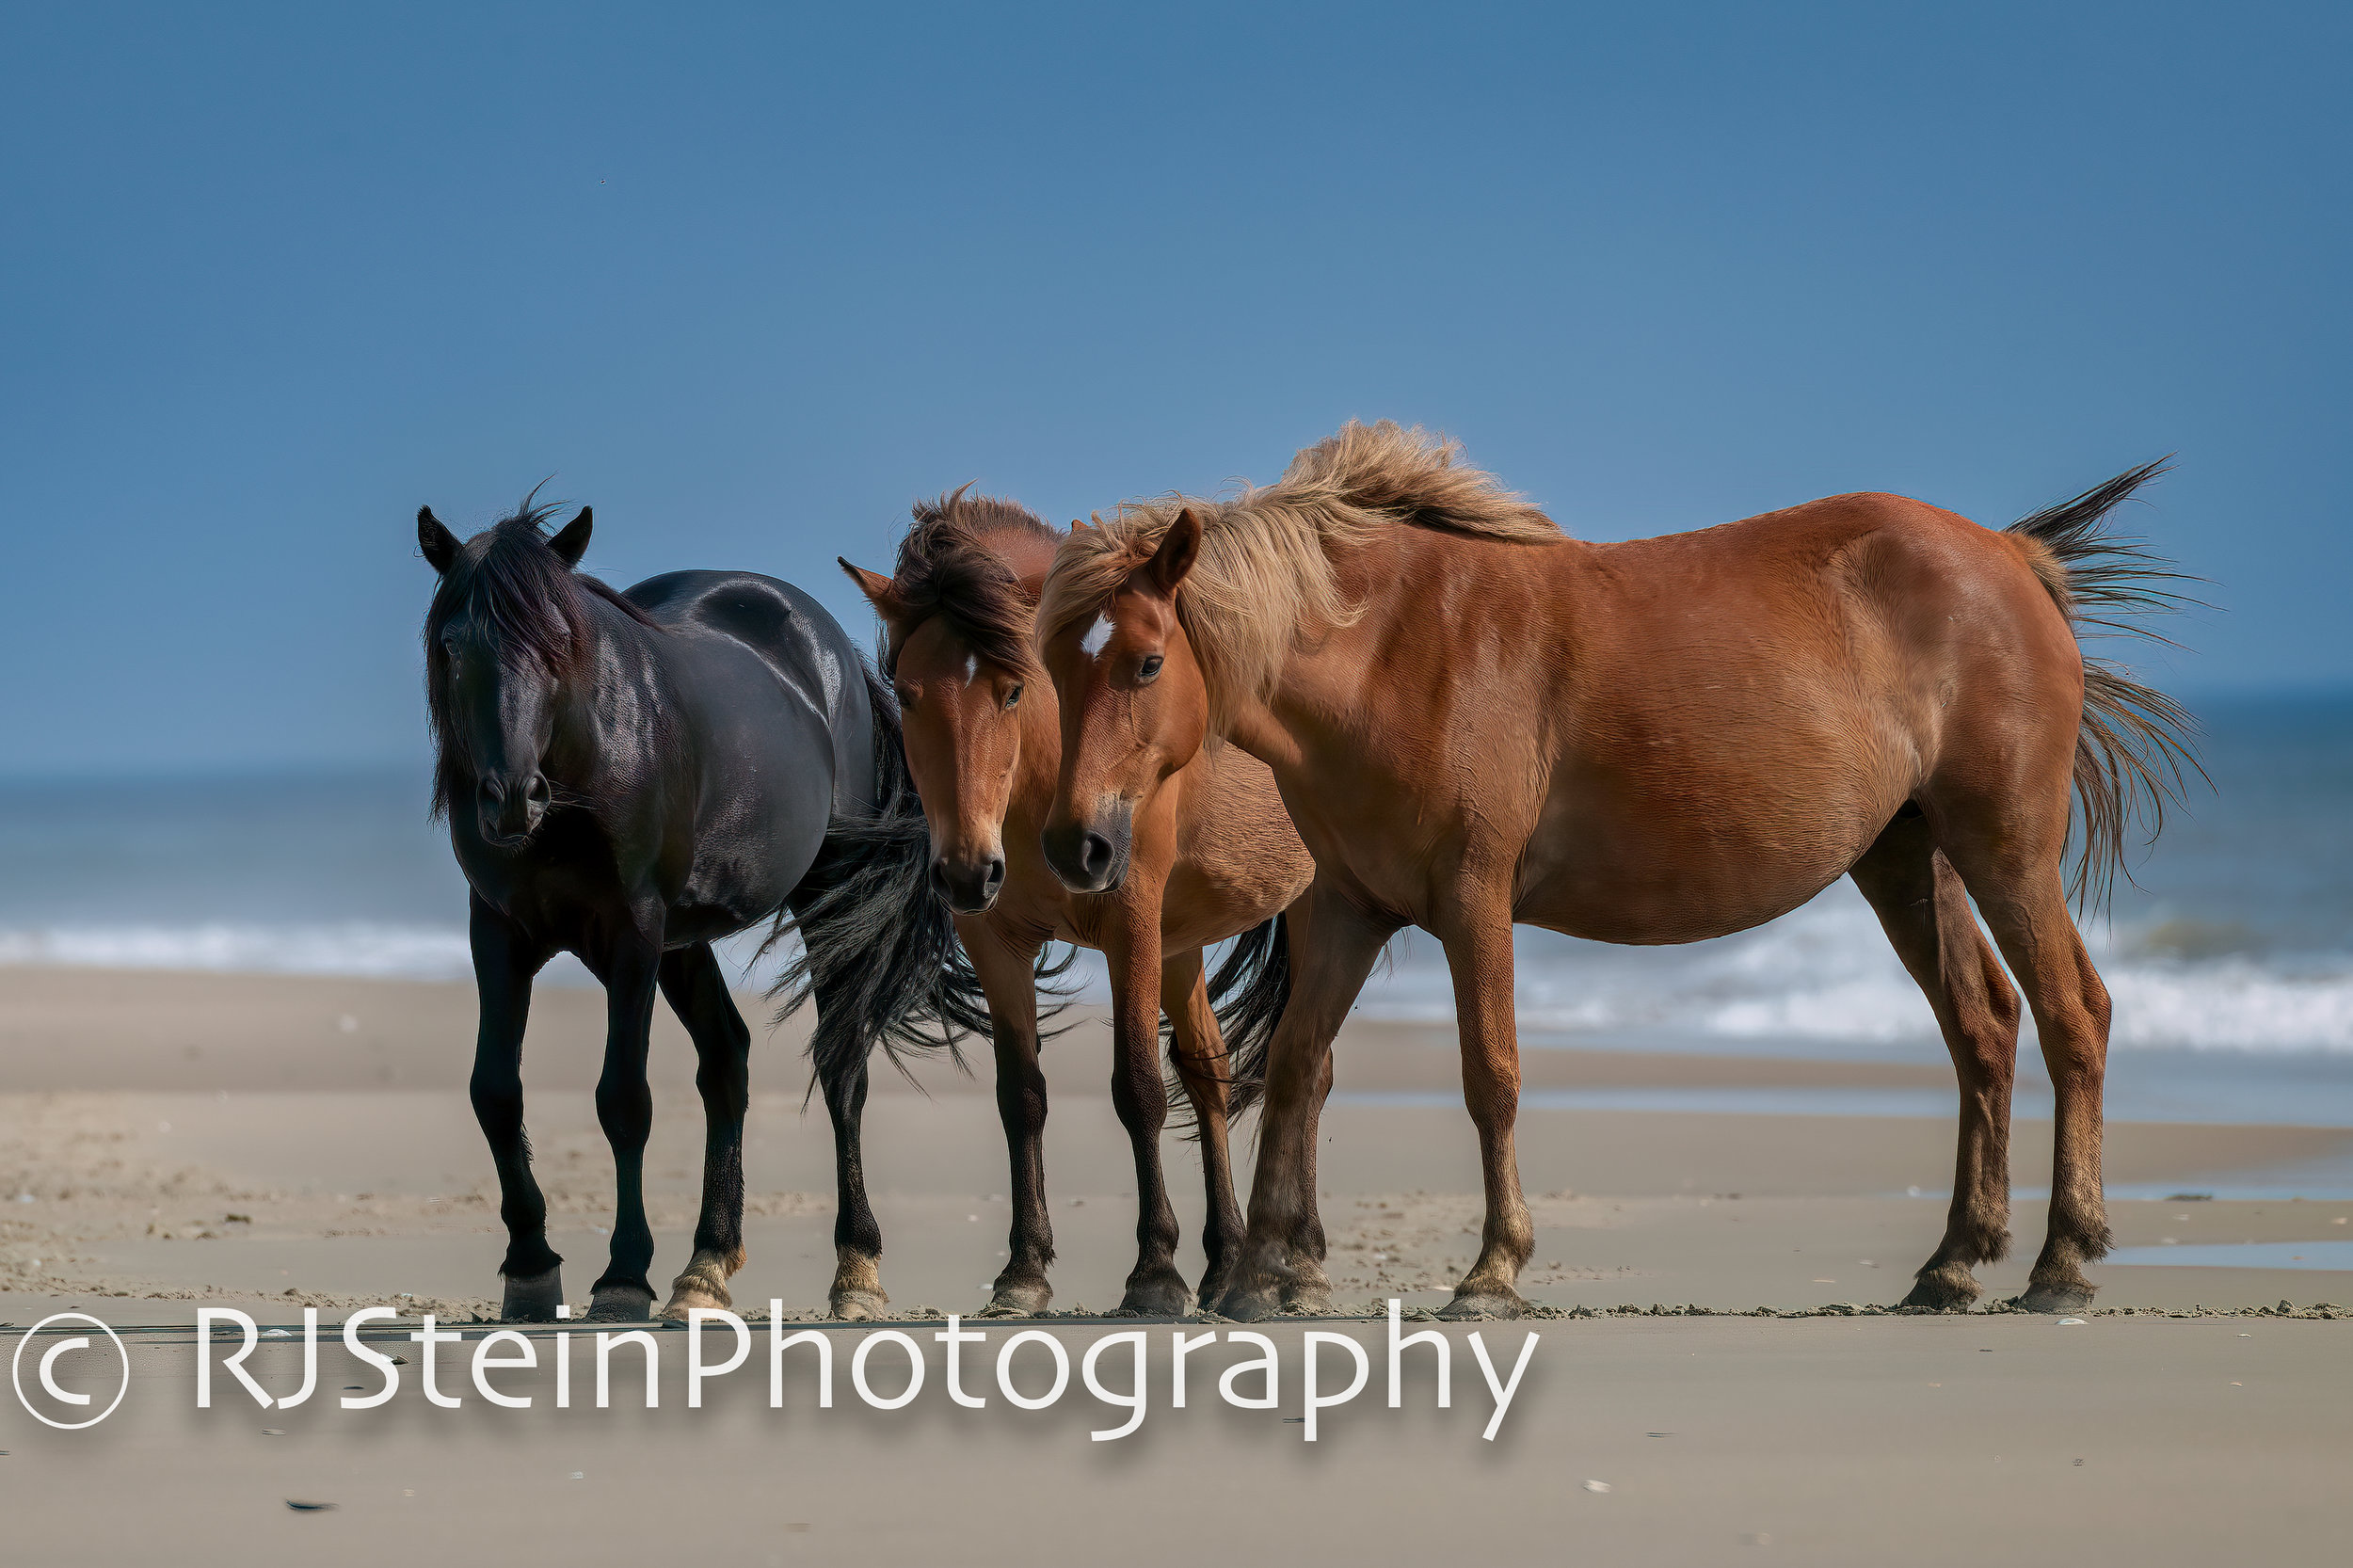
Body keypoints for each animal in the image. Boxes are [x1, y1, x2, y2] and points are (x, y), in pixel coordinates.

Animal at [424, 496, 974, 1318]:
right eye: (454, 645)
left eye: (558, 645)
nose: (514, 798)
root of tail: (835, 653)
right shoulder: (499, 931)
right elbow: (494, 1092)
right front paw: (530, 1266)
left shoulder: (632, 935)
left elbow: (623, 1099)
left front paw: (622, 1274)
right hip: (683, 943)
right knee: (726, 1060)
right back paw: (705, 1267)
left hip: (820, 901)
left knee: (842, 1069)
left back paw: (856, 1272)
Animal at [842, 485, 1327, 1308]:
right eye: (906, 695)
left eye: (1012, 689)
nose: (965, 870)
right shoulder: (995, 940)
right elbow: (1022, 1097)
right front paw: (1024, 1270)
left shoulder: (1128, 921)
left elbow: (1137, 1089)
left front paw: (1154, 1272)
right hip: (1180, 942)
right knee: (1209, 1072)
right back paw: (1228, 1260)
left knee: (1308, 1073)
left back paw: (1301, 1260)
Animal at [1040, 421, 2193, 1308]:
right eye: (1054, 667)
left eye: (1145, 662)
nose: (1075, 844)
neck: (1398, 649)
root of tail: (2010, 557)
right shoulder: (1349, 911)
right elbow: (1292, 1067)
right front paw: (1263, 1278)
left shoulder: (1473, 899)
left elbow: (1490, 1076)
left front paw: (1493, 1272)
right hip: (1909, 860)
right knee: (1983, 1027)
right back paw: (1952, 1264)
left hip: (2005, 850)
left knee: (2073, 1013)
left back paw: (2061, 1260)